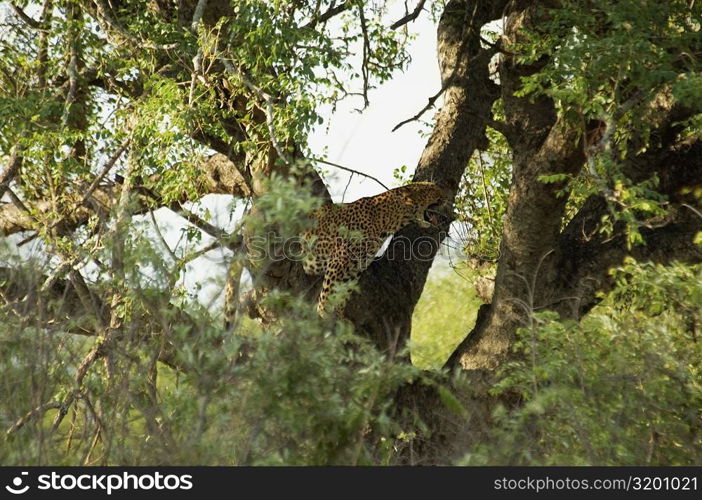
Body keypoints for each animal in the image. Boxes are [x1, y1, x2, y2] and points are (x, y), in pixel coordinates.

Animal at [302, 183, 446, 316]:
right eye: (430, 189)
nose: (446, 196)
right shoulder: (338, 262)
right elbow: (328, 292)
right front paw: (324, 315)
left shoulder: (354, 270)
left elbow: (342, 295)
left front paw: (338, 318)